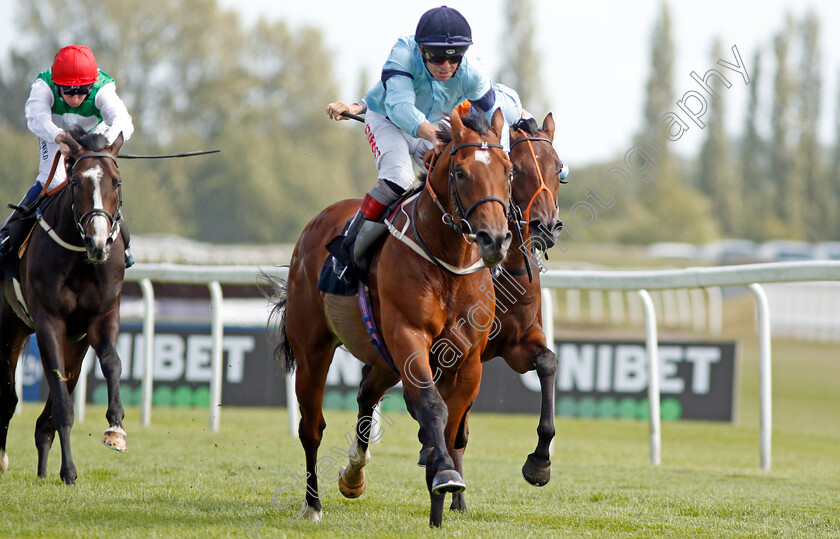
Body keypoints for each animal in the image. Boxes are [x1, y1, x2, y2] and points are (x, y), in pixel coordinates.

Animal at [0, 127, 128, 486]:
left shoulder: (101, 319)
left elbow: (112, 364)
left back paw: (43, 471)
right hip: (9, 328)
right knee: (8, 398)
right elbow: (63, 406)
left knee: (44, 416)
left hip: (74, 344)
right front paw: (69, 471)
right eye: (77, 183)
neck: (81, 259)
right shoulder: (49, 322)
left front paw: (115, 428)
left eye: (116, 182)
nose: (98, 242)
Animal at [266, 109, 512, 528]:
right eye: (461, 173)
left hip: (384, 358)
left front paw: (442, 491)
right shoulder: (408, 336)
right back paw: (313, 504)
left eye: (508, 170)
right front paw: (444, 477)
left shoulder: (467, 360)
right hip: (314, 350)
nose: (494, 239)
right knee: (311, 427)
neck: (446, 261)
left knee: (366, 393)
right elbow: (432, 406)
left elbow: (451, 424)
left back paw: (353, 474)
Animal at [338, 113, 568, 510]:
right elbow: (448, 419)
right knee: (376, 390)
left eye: (558, 169)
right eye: (519, 170)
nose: (546, 225)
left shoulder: (514, 343)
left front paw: (539, 462)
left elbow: (547, 363)